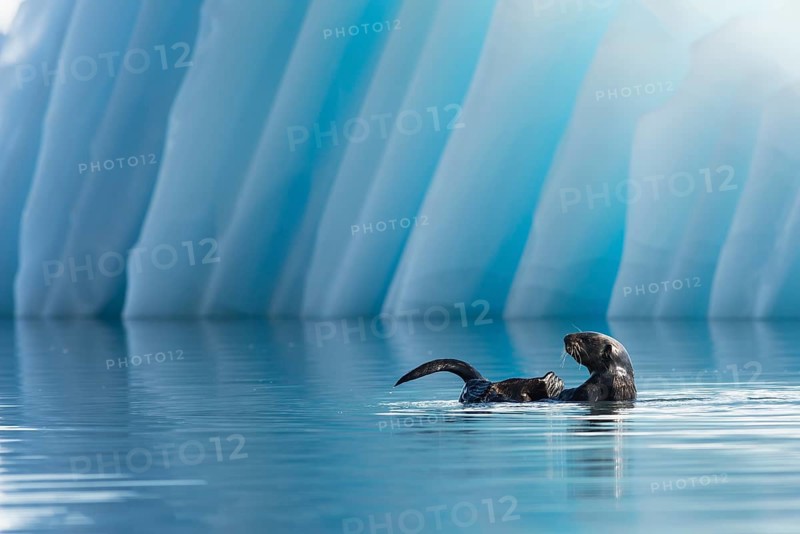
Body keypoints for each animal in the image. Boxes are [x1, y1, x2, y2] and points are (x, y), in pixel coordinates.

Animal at [393, 332, 636, 403]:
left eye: (585, 338)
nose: (566, 336)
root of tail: (478, 380)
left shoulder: (591, 390)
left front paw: (555, 384)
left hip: (485, 391)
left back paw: (549, 380)